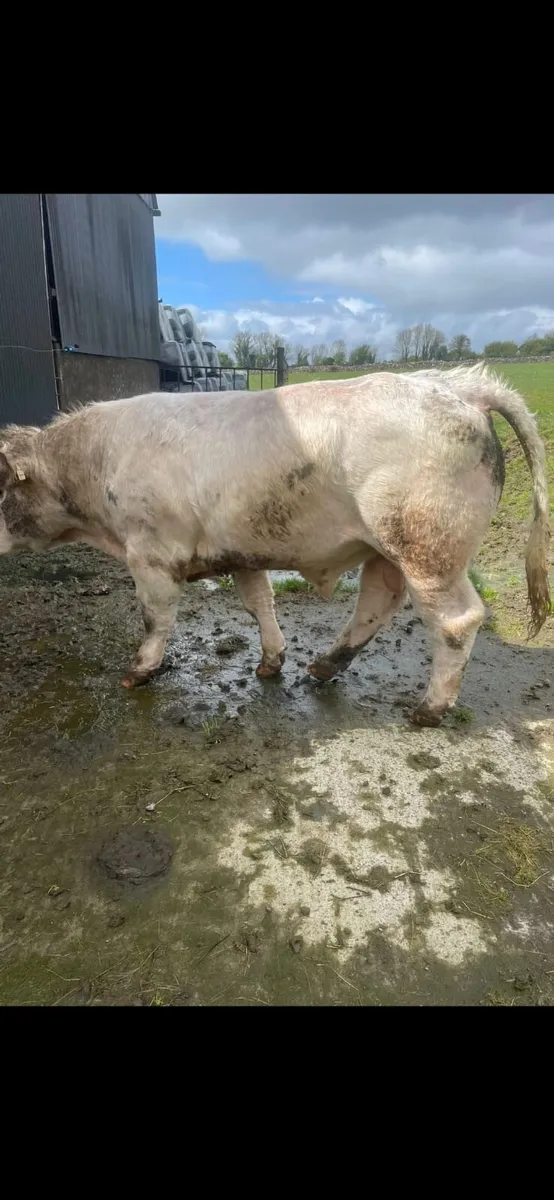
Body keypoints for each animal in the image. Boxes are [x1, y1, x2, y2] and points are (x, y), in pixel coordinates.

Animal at [0, 363, 550, 726]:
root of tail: (454, 383)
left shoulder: (151, 554)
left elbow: (156, 617)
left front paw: (139, 671)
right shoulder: (241, 549)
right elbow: (258, 602)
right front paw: (271, 661)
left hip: (428, 548)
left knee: (455, 621)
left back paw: (428, 709)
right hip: (390, 549)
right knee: (378, 601)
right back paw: (324, 665)